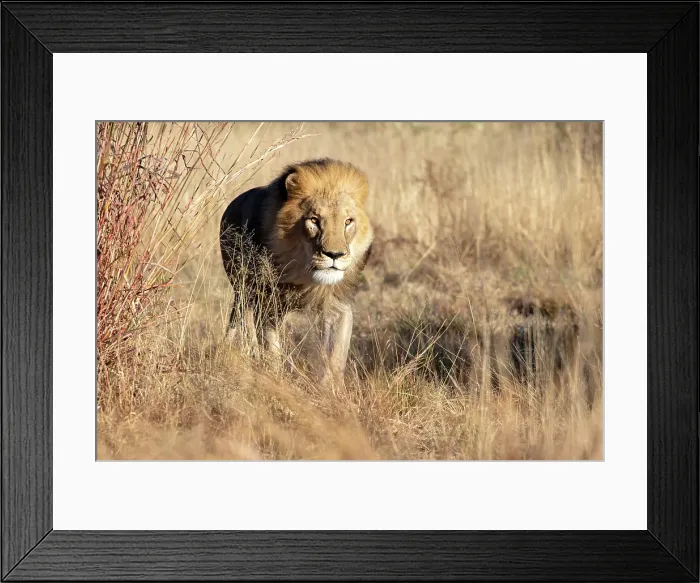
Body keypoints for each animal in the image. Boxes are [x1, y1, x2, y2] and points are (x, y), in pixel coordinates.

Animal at [219, 158, 374, 382]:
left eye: (348, 222)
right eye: (314, 220)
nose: (334, 254)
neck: (307, 276)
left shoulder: (339, 305)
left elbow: (335, 358)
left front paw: (331, 389)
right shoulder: (269, 304)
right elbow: (271, 352)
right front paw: (275, 379)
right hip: (244, 290)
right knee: (241, 323)